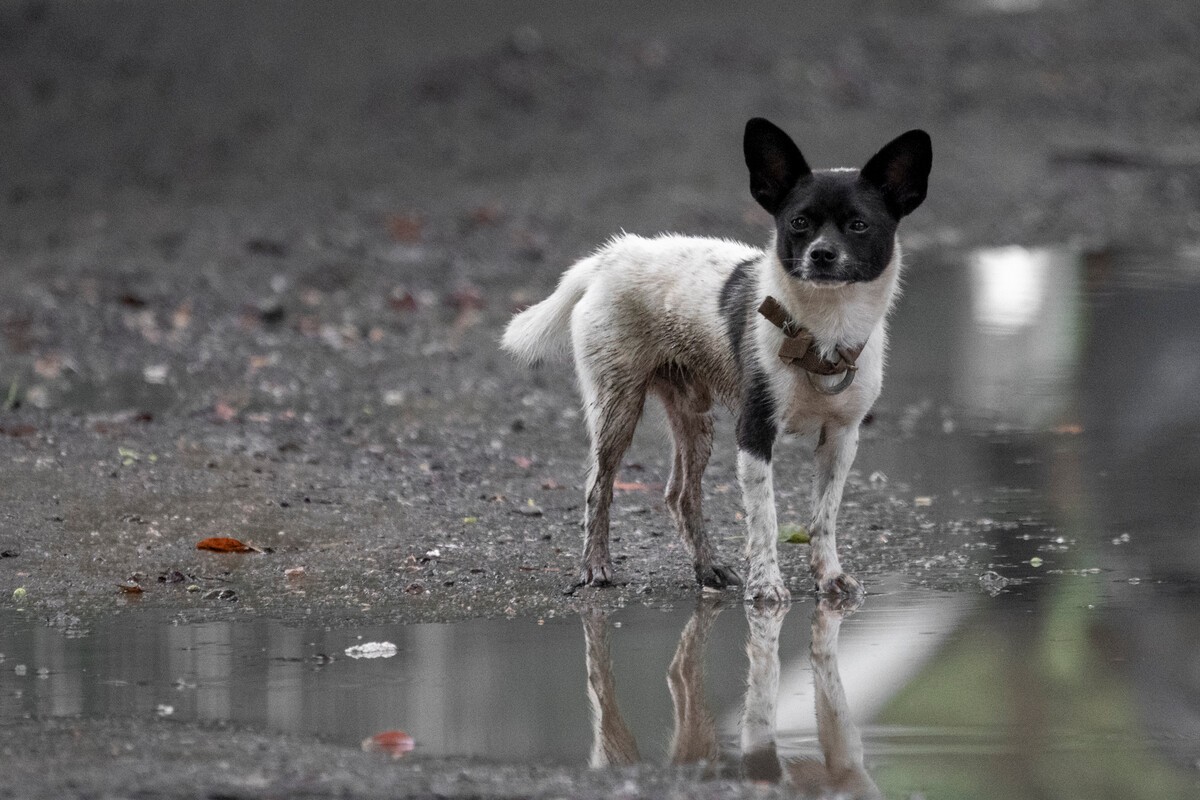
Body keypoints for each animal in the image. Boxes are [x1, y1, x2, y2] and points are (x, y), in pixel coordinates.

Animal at [501, 115, 931, 597]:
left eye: (859, 225)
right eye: (799, 222)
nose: (821, 254)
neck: (823, 335)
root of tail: (610, 256)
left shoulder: (841, 439)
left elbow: (825, 516)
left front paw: (829, 575)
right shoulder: (754, 432)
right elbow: (764, 518)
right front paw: (766, 587)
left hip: (694, 418)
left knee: (681, 494)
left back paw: (707, 568)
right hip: (616, 408)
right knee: (600, 487)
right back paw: (596, 566)